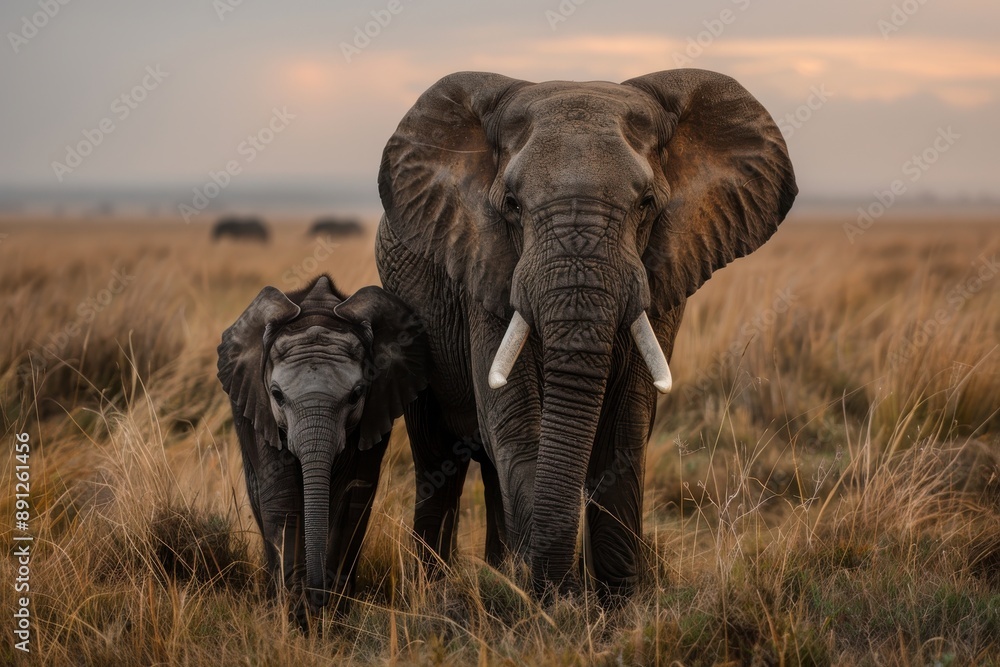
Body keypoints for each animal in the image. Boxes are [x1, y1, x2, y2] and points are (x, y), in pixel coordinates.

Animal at [217, 275, 428, 626]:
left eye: (356, 395)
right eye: (277, 395)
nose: (317, 597)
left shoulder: (374, 413)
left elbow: (351, 498)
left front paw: (332, 616)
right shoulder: (261, 410)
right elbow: (282, 497)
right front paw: (296, 617)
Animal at [375, 68, 797, 599]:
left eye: (646, 204)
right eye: (511, 205)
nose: (565, 589)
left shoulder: (660, 277)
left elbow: (623, 427)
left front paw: (615, 603)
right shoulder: (485, 271)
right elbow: (517, 424)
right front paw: (548, 603)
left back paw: (499, 573)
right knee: (436, 458)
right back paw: (435, 586)